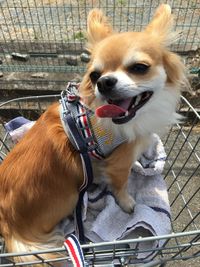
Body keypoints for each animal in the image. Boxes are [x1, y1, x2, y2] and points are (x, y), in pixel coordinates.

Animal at [0, 4, 188, 266]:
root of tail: (9, 225)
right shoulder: (120, 162)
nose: (105, 82)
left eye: (139, 68)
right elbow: (121, 186)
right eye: (94, 76)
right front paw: (127, 204)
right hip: (70, 194)